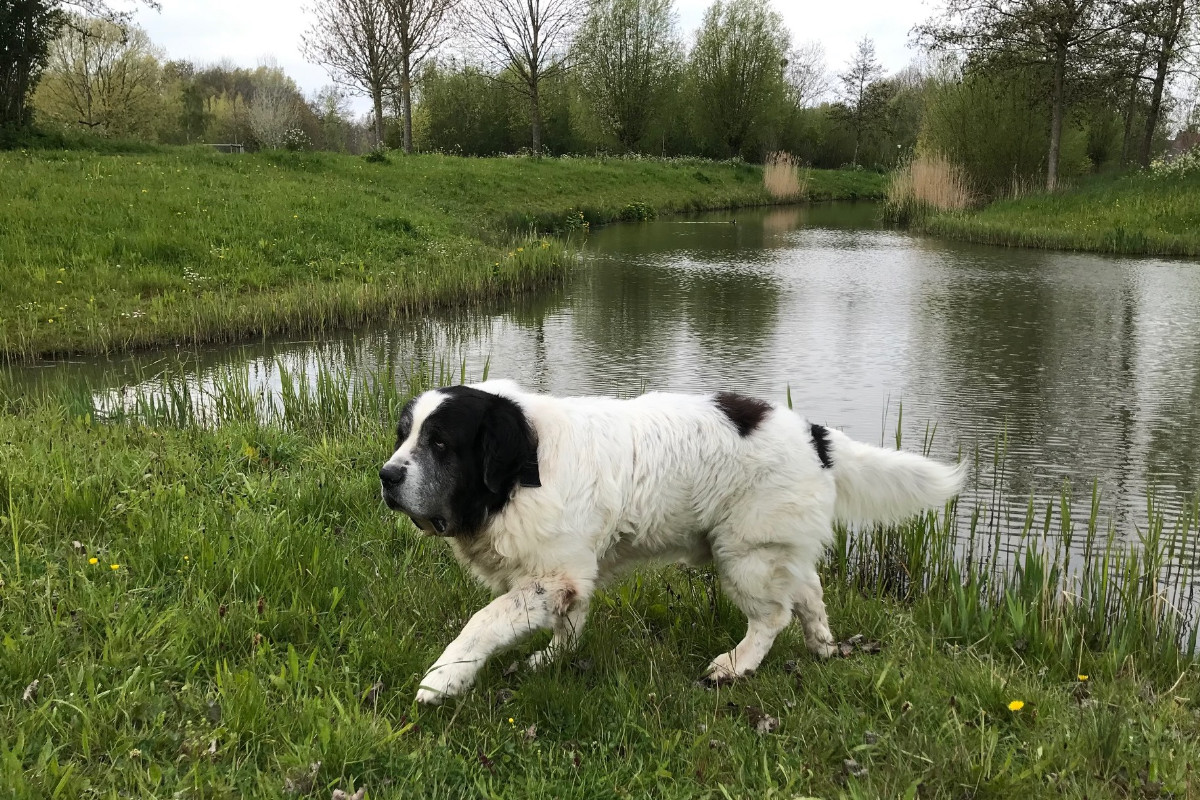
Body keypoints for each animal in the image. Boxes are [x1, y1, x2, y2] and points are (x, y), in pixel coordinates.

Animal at [384, 383, 964, 705]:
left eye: (441, 443)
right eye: (403, 434)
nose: (386, 475)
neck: (523, 469)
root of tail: (816, 436)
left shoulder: (553, 576)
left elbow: (482, 623)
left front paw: (443, 681)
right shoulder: (571, 574)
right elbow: (569, 624)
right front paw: (550, 660)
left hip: (744, 555)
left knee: (773, 614)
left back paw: (737, 665)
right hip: (773, 547)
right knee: (809, 591)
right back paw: (822, 646)